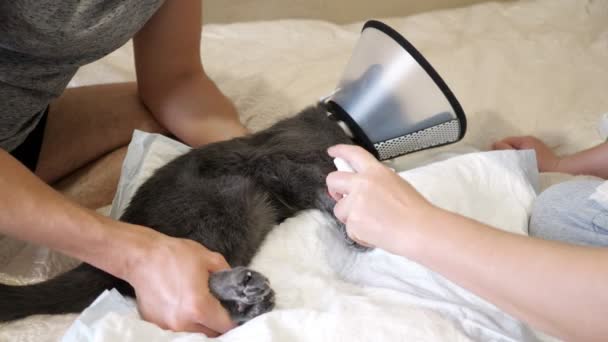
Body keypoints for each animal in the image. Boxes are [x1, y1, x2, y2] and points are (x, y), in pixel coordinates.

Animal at [0, 104, 366, 326]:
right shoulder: (278, 160)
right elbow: (316, 183)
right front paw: (347, 216)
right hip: (230, 201)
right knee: (199, 274)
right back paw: (242, 287)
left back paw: (252, 304)